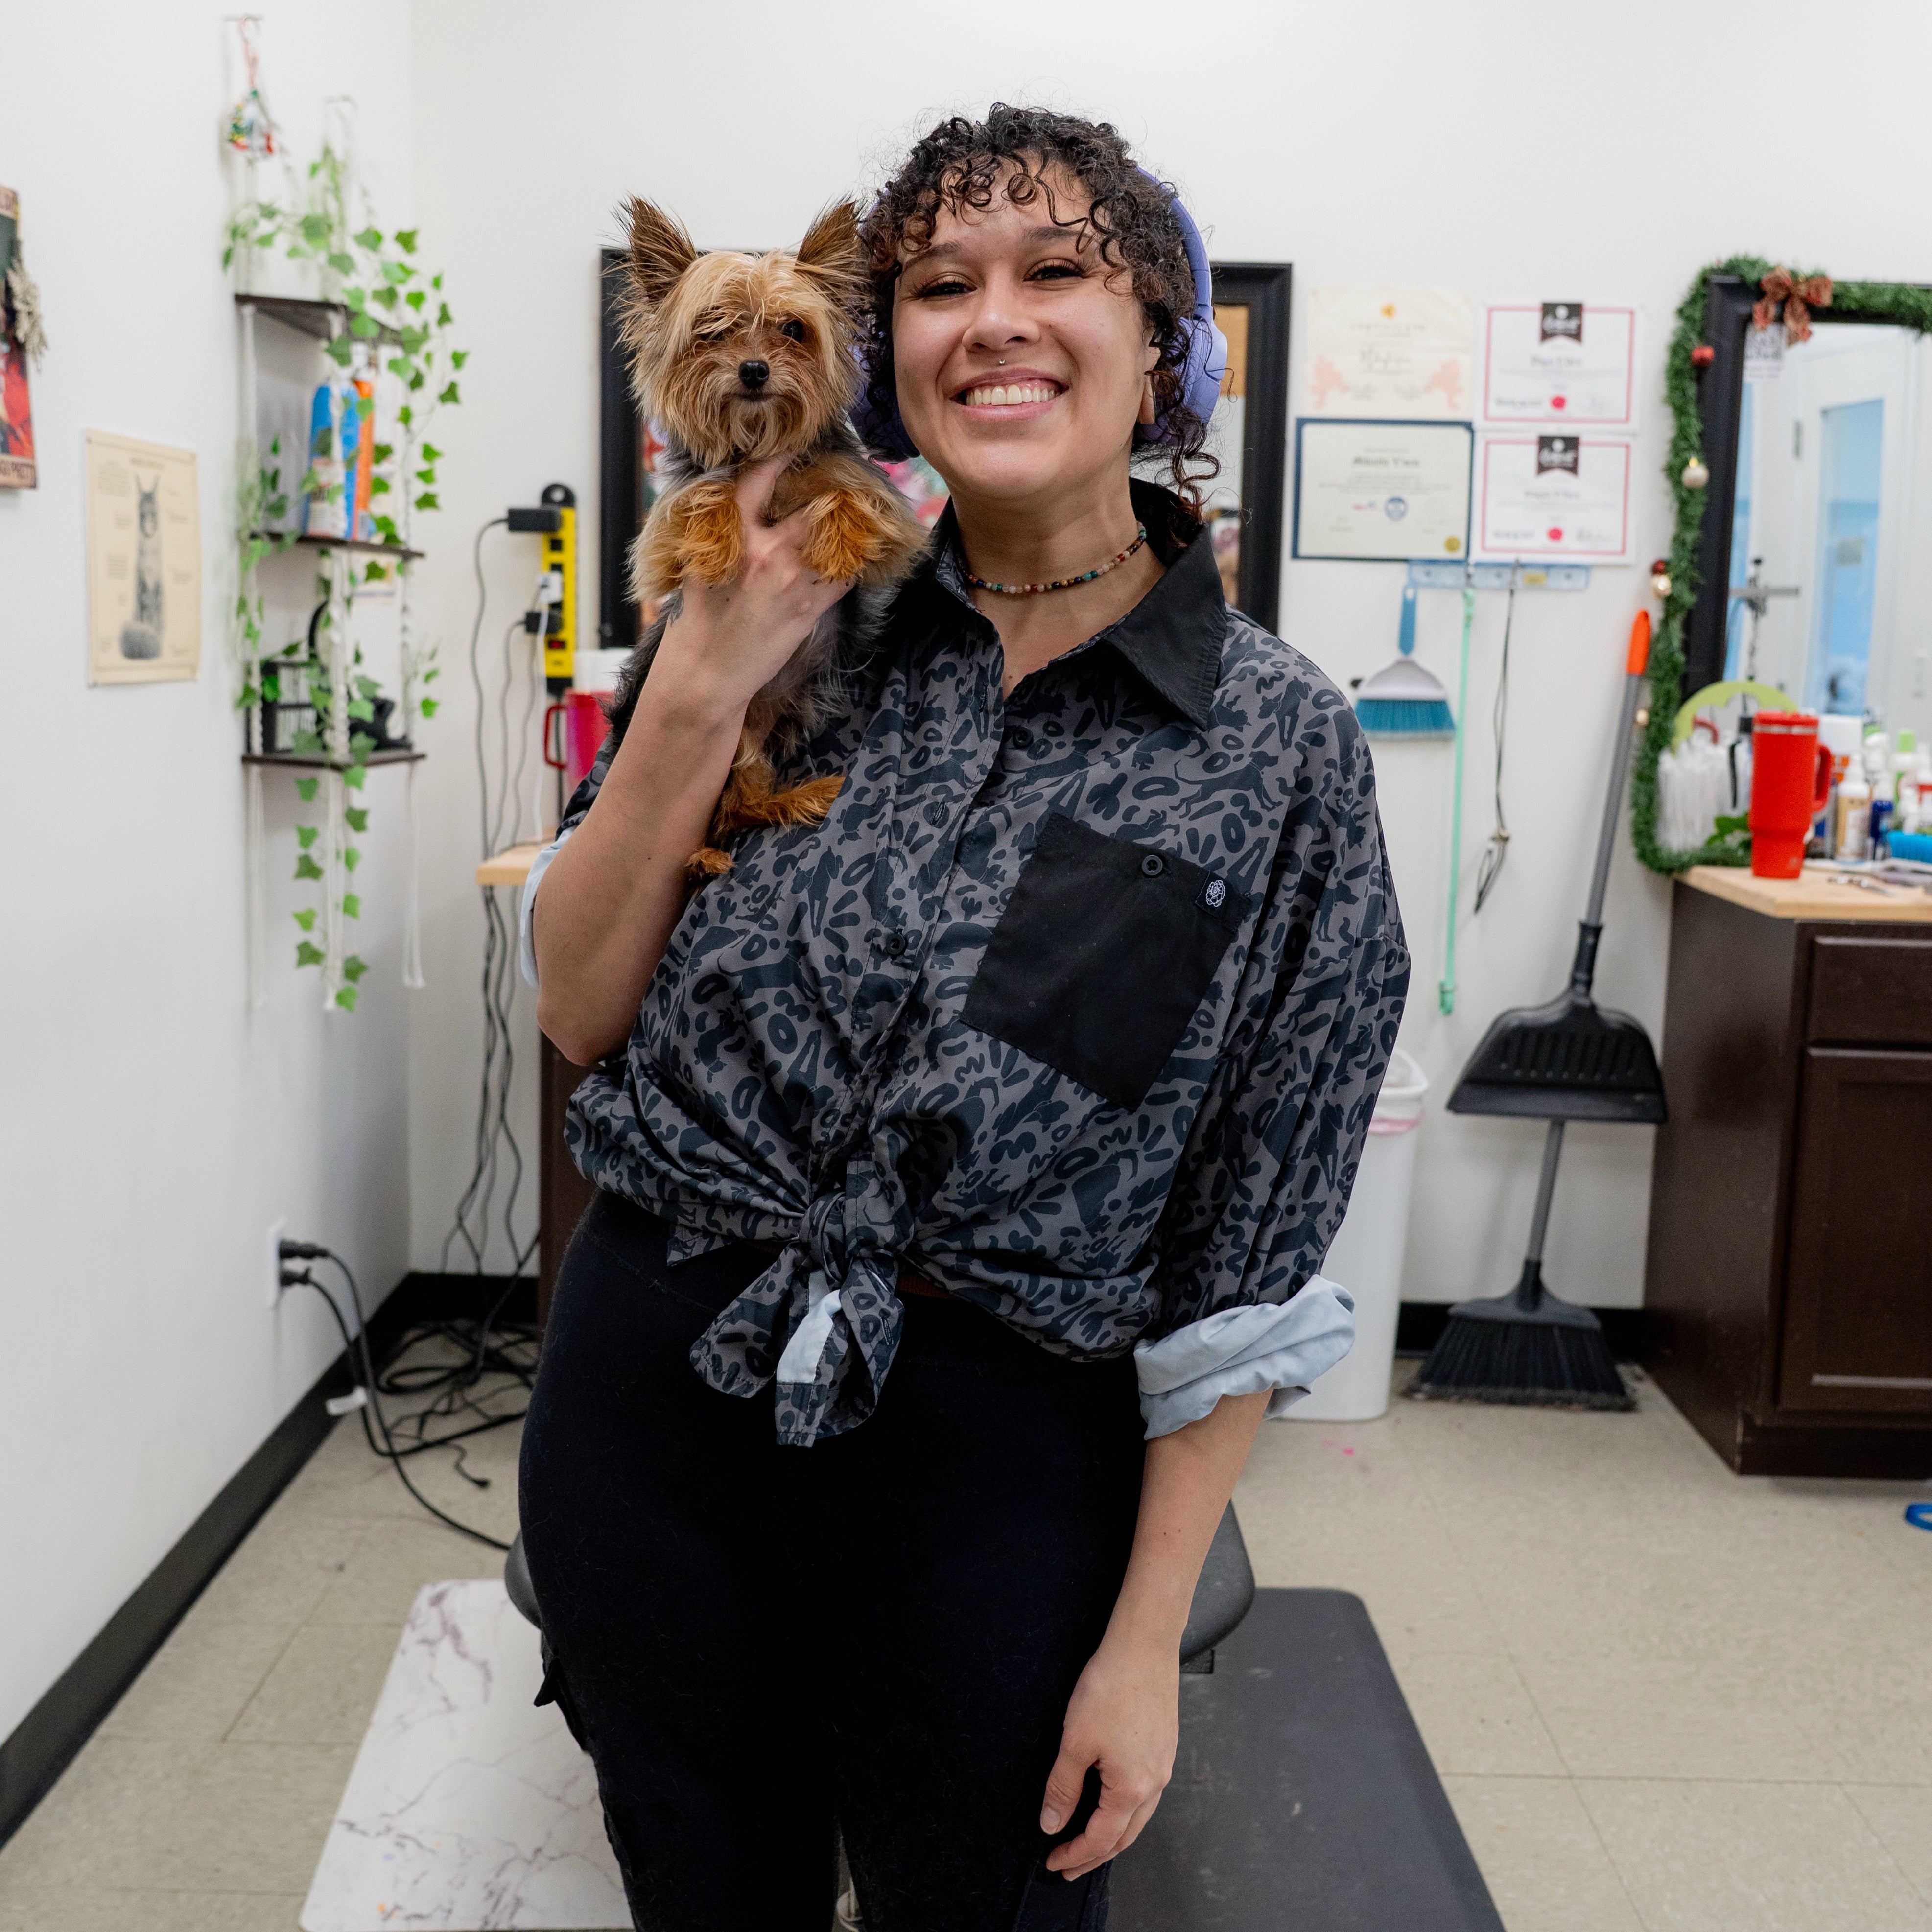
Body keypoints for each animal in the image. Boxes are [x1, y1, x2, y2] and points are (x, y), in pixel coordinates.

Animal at [614, 196, 927, 876]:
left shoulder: (885, 509)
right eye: (712, 329)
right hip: (724, 736)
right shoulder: (663, 532)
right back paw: (708, 854)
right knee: (729, 812)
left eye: (792, 330)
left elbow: (847, 497)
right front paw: (719, 544)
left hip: (759, 734)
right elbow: (703, 497)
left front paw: (838, 543)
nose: (754, 370)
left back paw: (803, 797)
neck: (759, 442)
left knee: (745, 807)